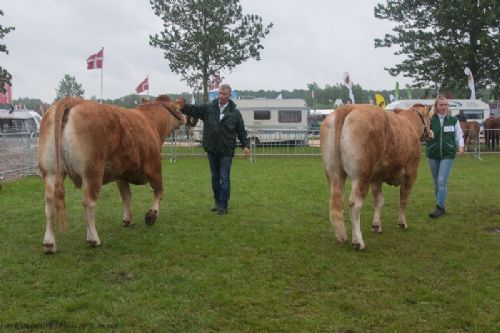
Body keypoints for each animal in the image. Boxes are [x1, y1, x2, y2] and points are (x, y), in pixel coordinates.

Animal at [37, 94, 186, 253]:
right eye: (179, 108)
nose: (184, 118)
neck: (151, 122)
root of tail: (71, 100)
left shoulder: (121, 175)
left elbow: (126, 196)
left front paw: (128, 220)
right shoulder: (154, 167)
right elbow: (159, 192)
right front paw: (151, 215)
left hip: (50, 172)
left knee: (49, 203)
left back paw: (49, 244)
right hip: (92, 172)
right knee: (88, 202)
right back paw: (93, 239)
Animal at [320, 104, 434, 249]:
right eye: (430, 118)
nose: (431, 133)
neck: (410, 123)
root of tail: (347, 107)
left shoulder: (376, 178)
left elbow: (379, 200)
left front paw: (376, 225)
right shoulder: (411, 173)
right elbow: (403, 199)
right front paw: (402, 222)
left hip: (333, 172)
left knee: (336, 202)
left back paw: (341, 236)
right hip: (361, 175)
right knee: (354, 204)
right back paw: (358, 242)